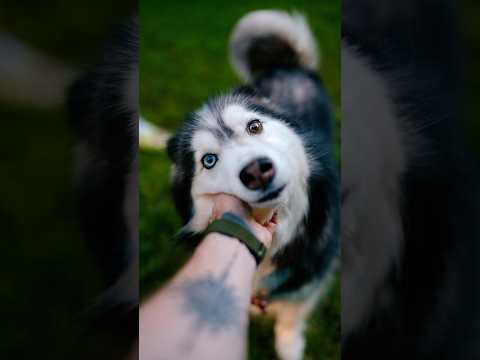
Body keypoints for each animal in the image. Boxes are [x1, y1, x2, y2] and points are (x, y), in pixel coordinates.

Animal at [167, 10, 340, 360]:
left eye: (255, 126)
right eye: (209, 160)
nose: (257, 172)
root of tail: (285, 63)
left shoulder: (311, 278)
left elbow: (291, 317)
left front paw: (289, 346)